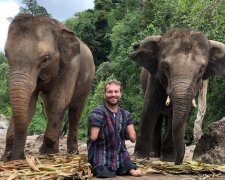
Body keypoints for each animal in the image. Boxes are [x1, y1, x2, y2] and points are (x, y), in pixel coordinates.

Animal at [0, 13, 95, 161]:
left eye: (45, 59)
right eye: (6, 55)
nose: (14, 156)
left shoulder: (71, 67)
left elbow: (59, 100)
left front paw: (48, 153)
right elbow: (30, 104)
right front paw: (8, 156)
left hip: (87, 83)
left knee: (75, 111)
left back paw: (71, 152)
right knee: (50, 108)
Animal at [130, 28, 225, 165]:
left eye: (201, 69)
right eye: (165, 67)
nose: (178, 162)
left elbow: (174, 115)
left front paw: (169, 159)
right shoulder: (155, 78)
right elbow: (150, 108)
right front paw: (139, 157)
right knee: (158, 118)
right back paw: (153, 154)